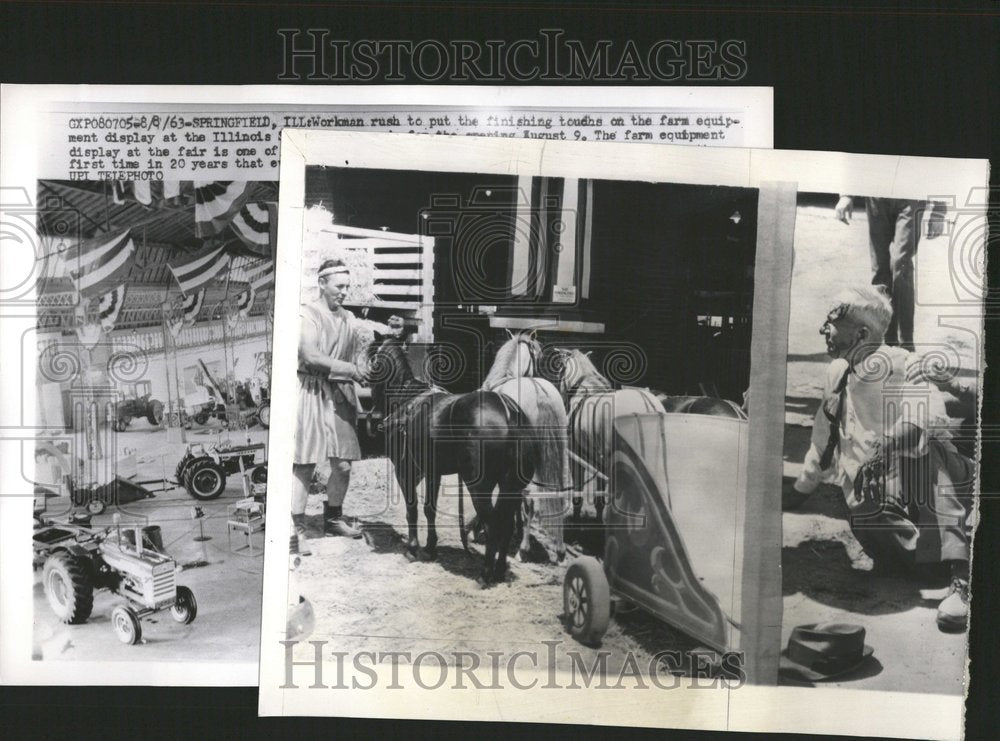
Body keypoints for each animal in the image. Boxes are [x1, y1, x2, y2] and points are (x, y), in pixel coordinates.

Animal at [368, 336, 540, 584]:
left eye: (373, 362)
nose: (372, 417)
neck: (408, 400)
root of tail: (509, 413)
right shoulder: (433, 471)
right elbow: (429, 509)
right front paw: (430, 548)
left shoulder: (405, 469)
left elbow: (412, 509)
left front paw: (413, 548)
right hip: (511, 485)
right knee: (506, 523)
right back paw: (499, 569)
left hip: (479, 486)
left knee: (493, 523)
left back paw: (485, 573)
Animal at [556, 346, 664, 520]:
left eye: (560, 369)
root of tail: (646, 404)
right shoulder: (598, 461)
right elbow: (599, 499)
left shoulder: (576, 458)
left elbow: (578, 494)